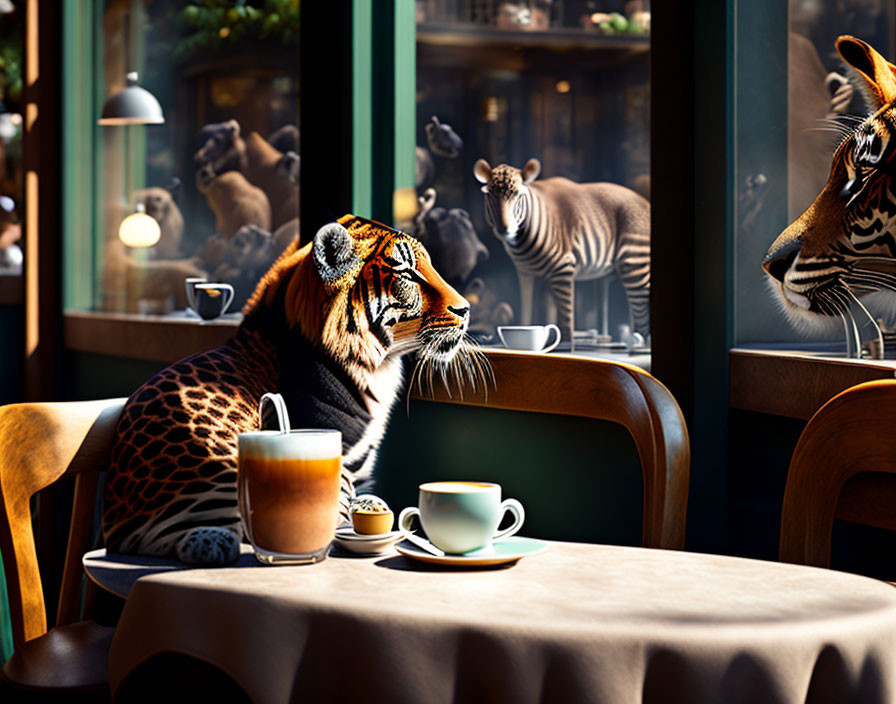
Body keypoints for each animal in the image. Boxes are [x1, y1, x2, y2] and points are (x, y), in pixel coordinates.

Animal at [101, 216, 486, 568]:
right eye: (406, 272)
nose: (466, 309)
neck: (378, 366)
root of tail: (114, 516)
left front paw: (370, 506)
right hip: (213, 463)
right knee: (161, 535)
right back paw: (210, 541)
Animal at [476, 157, 652, 344]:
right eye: (489, 195)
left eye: (517, 195)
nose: (504, 229)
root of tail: (644, 201)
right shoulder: (525, 273)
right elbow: (526, 313)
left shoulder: (563, 268)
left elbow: (566, 320)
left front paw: (566, 344)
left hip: (635, 263)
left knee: (641, 311)